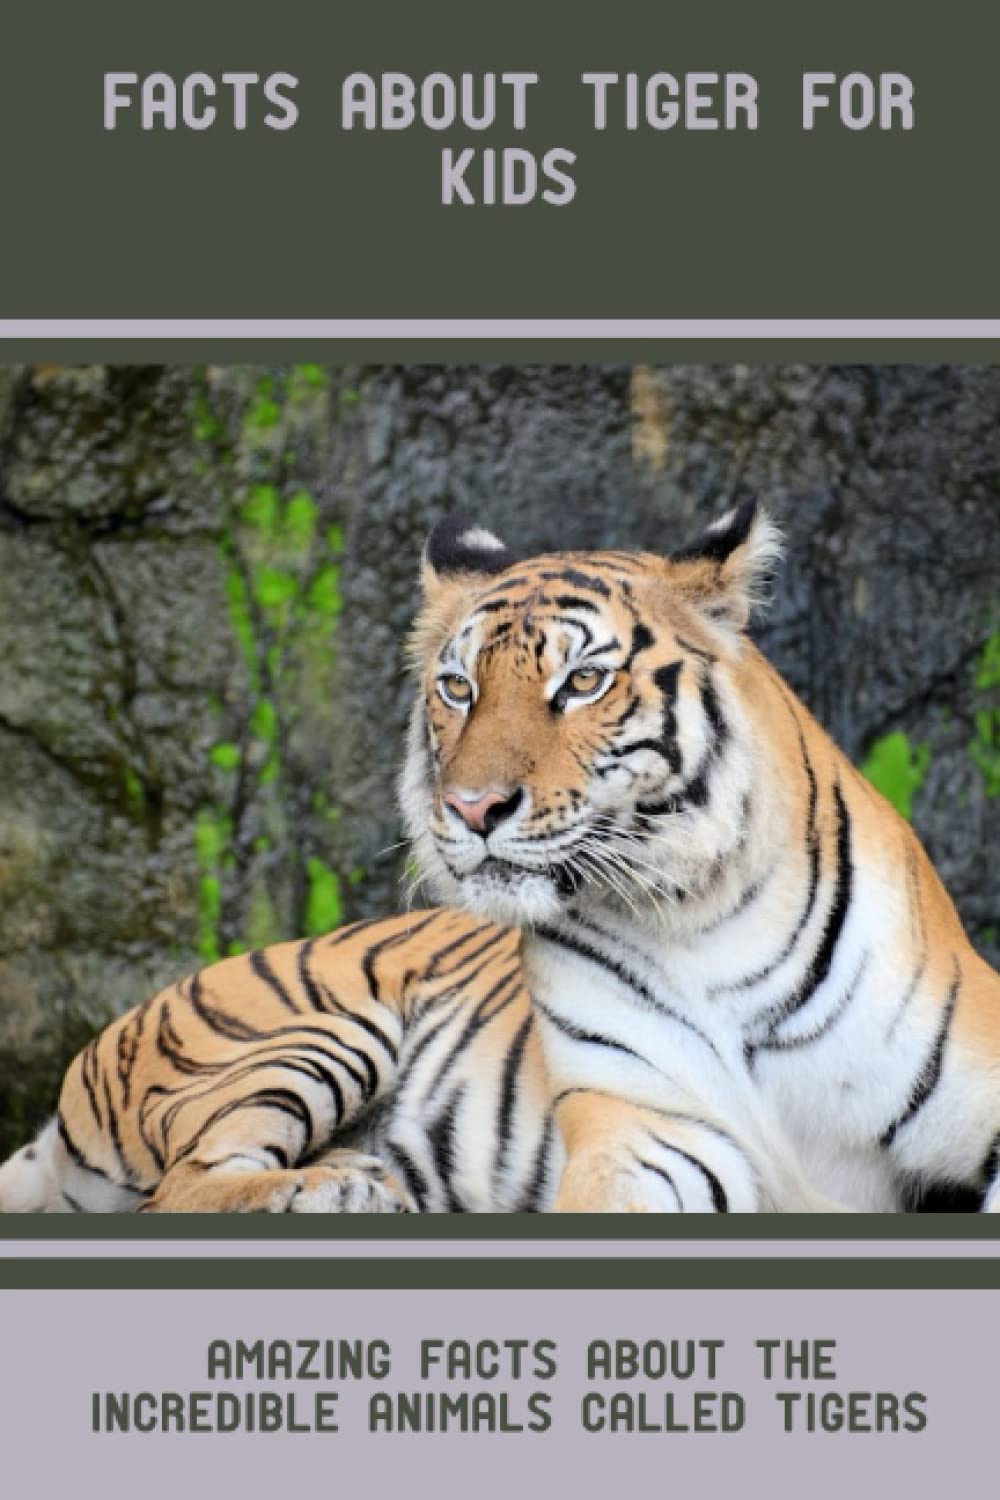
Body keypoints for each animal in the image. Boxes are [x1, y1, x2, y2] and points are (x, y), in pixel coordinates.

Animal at [2, 500, 999, 1213]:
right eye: (457, 687)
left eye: (583, 681)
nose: (472, 808)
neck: (701, 918)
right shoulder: (647, 1136)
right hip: (309, 1032)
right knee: (179, 1189)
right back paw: (343, 1188)